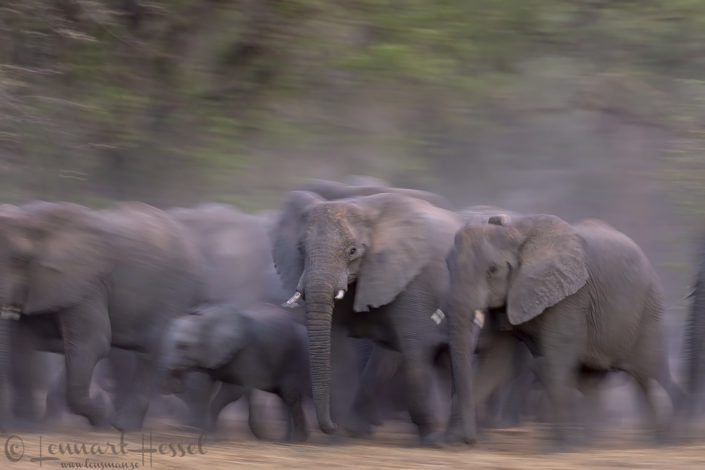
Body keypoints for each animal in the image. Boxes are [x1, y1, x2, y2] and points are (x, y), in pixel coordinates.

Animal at [0, 201, 201, 431]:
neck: (32, 218)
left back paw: (124, 426)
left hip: (174, 291)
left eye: (20, 259)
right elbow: (23, 342)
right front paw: (26, 426)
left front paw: (100, 417)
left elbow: (93, 342)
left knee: (152, 350)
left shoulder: (88, 283)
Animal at [162, 302, 310, 442]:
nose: (176, 385)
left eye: (182, 346)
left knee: (289, 395)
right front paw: (209, 433)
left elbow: (233, 390)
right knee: (283, 398)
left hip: (294, 357)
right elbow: (206, 387)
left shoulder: (244, 353)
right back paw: (286, 439)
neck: (207, 319)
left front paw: (211, 434)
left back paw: (296, 440)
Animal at [271, 187, 463, 444]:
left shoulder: (412, 278)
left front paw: (432, 440)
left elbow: (416, 347)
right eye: (300, 250)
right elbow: (336, 350)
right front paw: (339, 438)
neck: (364, 208)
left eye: (352, 251)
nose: (329, 426)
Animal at [445, 213, 680, 446]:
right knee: (592, 381)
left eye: (492, 270)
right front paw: (453, 440)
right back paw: (591, 443)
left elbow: (557, 359)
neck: (514, 232)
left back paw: (662, 442)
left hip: (649, 310)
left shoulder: (570, 298)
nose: (471, 440)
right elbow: (495, 362)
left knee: (649, 377)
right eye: (447, 264)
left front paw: (559, 447)